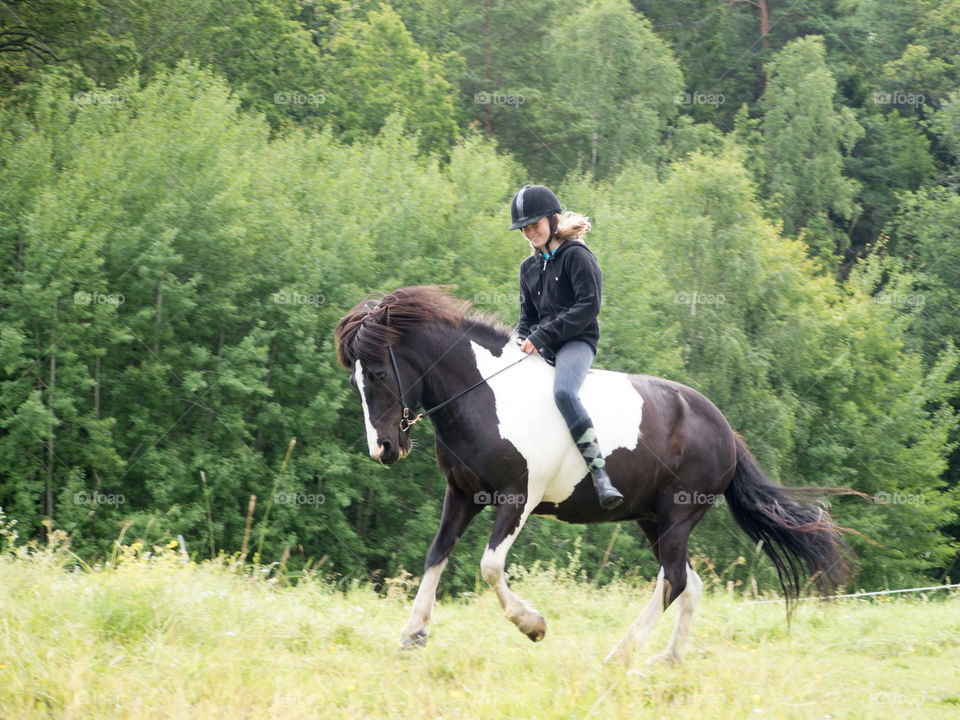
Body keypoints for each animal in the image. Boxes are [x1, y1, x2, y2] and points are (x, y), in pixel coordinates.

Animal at [334, 286, 852, 664]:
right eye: (356, 380)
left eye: (378, 374)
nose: (384, 449)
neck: (485, 396)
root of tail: (724, 427)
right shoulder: (461, 495)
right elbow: (436, 555)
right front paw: (413, 635)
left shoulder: (517, 498)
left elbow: (490, 566)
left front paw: (533, 626)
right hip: (652, 519)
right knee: (687, 582)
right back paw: (667, 660)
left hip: (678, 514)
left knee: (673, 580)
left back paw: (620, 654)